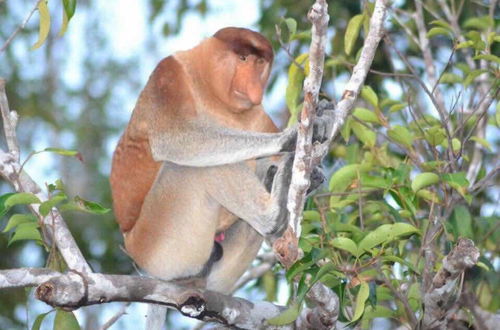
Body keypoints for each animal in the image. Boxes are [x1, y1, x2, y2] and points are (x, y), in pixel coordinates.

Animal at [111, 27, 334, 292]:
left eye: (260, 63)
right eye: (243, 59)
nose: (254, 87)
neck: (210, 89)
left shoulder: (256, 112)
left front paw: (321, 119)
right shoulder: (167, 76)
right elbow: (173, 137)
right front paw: (291, 136)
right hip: (160, 248)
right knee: (190, 167)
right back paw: (274, 213)